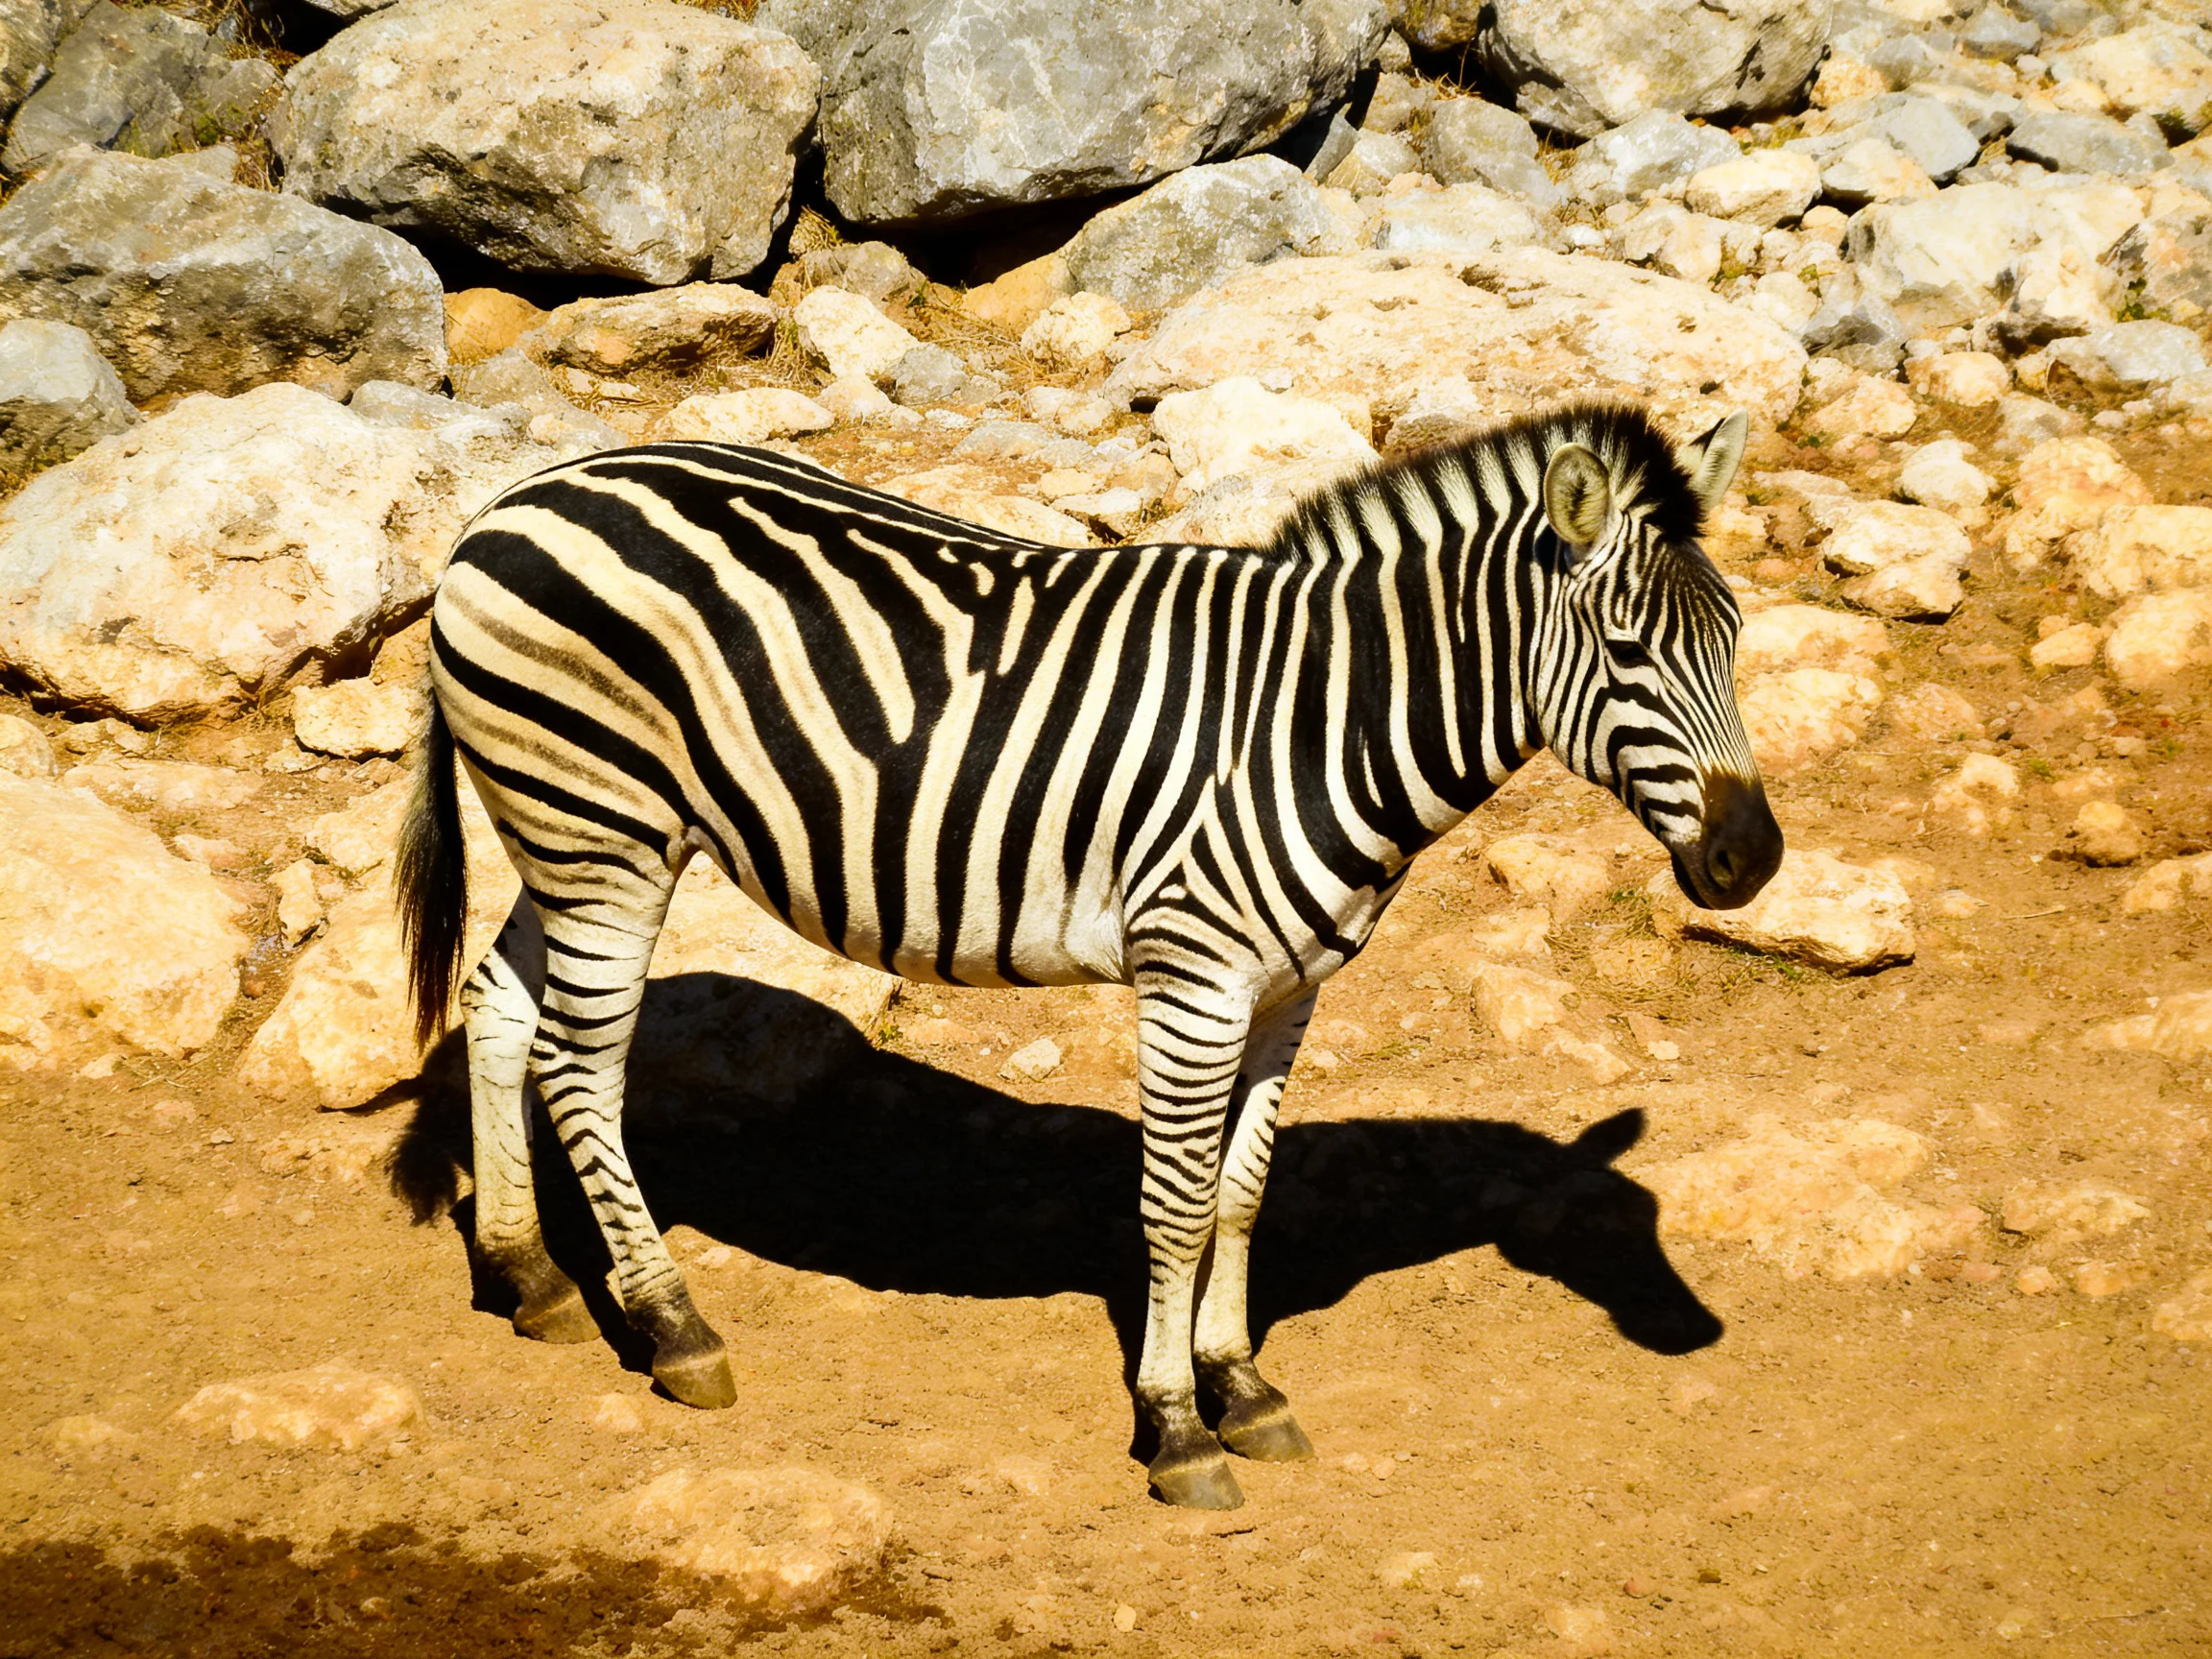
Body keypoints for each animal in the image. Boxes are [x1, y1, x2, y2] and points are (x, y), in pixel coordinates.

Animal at [395, 398, 1783, 1511]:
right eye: (1627, 652)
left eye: (1735, 636)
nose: (1754, 860)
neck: (1321, 719)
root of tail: (511, 502)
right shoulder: (1195, 977)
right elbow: (1171, 1204)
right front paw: (1176, 1429)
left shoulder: (1289, 991)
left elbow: (1241, 1191)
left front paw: (1244, 1387)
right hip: (605, 830)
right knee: (580, 1065)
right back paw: (673, 1327)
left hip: (564, 835)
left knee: (500, 1005)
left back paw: (528, 1276)